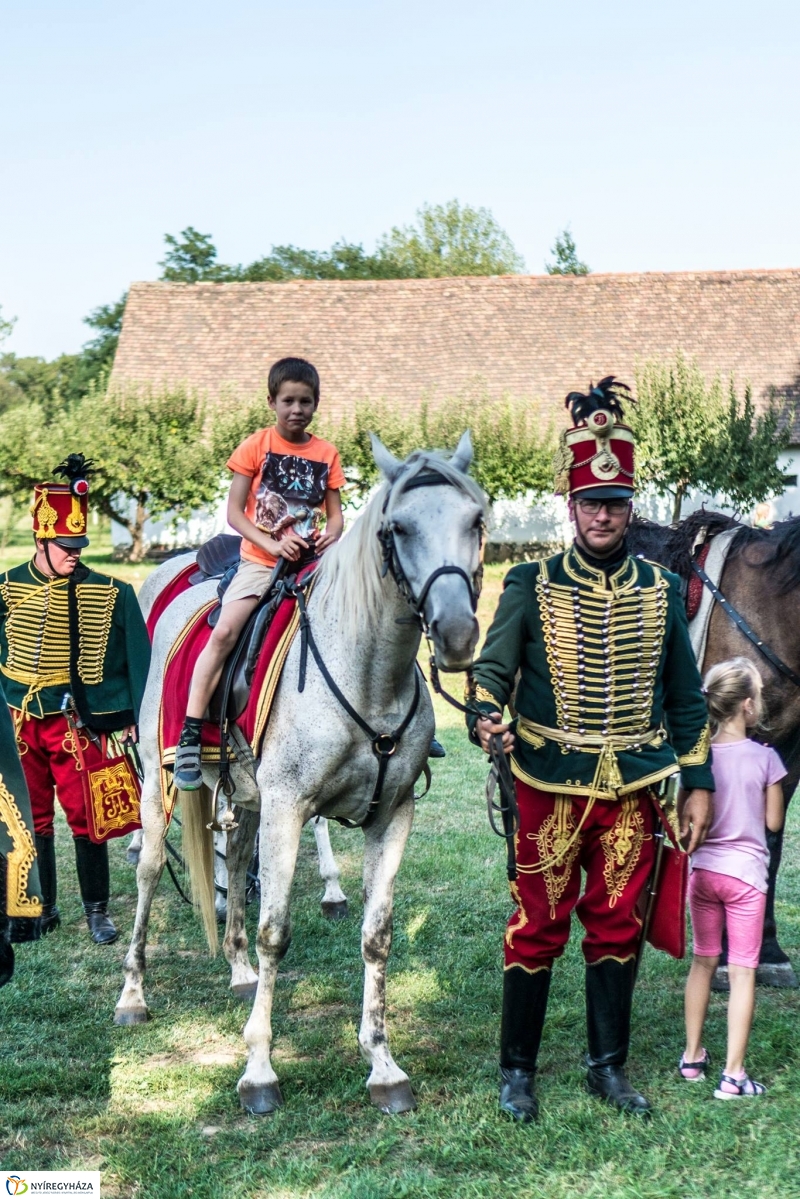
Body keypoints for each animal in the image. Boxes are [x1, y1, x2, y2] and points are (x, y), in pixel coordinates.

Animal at [115, 438, 484, 1112]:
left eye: (475, 521)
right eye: (398, 527)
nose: (456, 631)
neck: (368, 675)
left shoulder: (392, 815)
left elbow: (376, 935)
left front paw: (382, 1063)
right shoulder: (288, 808)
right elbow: (275, 932)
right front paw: (259, 1068)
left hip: (245, 797)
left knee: (235, 861)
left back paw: (238, 972)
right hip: (160, 784)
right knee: (151, 870)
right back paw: (133, 993)